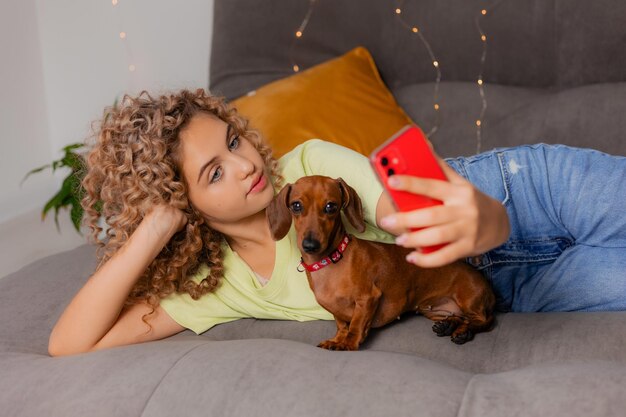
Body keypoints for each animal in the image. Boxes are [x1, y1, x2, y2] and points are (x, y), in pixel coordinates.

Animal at [266, 174, 494, 350]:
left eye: (331, 206)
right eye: (296, 205)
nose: (310, 245)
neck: (331, 261)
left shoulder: (369, 298)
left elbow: (356, 325)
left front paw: (348, 343)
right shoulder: (335, 311)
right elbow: (341, 324)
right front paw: (337, 339)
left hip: (468, 300)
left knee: (483, 320)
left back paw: (463, 332)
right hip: (434, 311)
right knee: (460, 318)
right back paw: (448, 326)